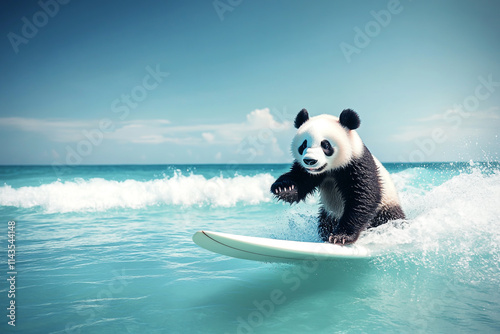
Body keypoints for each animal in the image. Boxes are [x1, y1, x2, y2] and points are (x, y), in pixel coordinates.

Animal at [272, 108, 404, 244]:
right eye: (303, 145)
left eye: (325, 145)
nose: (309, 160)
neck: (331, 168)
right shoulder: (308, 171)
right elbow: (300, 180)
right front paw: (284, 188)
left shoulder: (356, 163)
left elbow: (363, 196)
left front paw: (341, 236)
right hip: (329, 213)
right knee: (325, 222)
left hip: (386, 206)